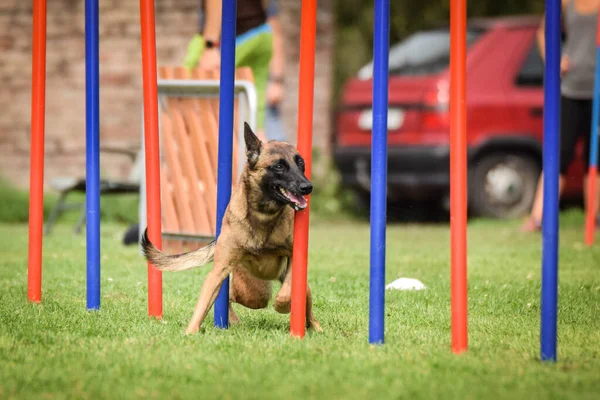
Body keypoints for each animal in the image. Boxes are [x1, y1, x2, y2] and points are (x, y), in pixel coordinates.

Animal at [141, 122, 322, 334]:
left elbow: (287, 291)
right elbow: (203, 303)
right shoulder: (219, 269)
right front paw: (190, 332)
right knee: (230, 297)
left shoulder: (294, 257)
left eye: (301, 164)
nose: (307, 187)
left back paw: (315, 327)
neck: (263, 215)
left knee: (307, 307)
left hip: (295, 288)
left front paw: (283, 305)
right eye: (279, 166)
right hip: (251, 291)